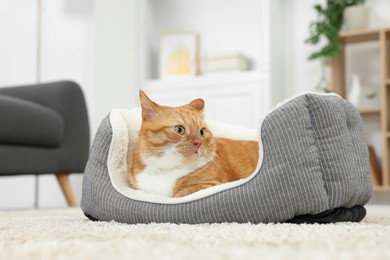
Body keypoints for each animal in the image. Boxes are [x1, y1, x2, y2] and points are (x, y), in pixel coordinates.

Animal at [128, 91, 258, 197]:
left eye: (201, 132)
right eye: (179, 129)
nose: (199, 142)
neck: (164, 169)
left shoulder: (210, 185)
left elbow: (179, 195)